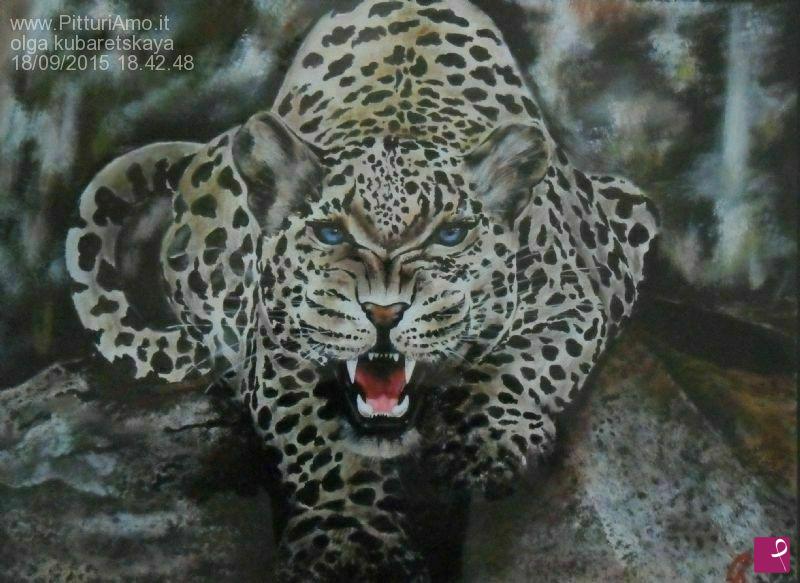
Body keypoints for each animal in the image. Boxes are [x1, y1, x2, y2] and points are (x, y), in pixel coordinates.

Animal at [66, 0, 658, 580]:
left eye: (450, 234)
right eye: (331, 233)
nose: (384, 312)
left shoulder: (573, 303)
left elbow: (518, 367)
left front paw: (479, 447)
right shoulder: (278, 351)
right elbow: (321, 446)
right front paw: (350, 540)